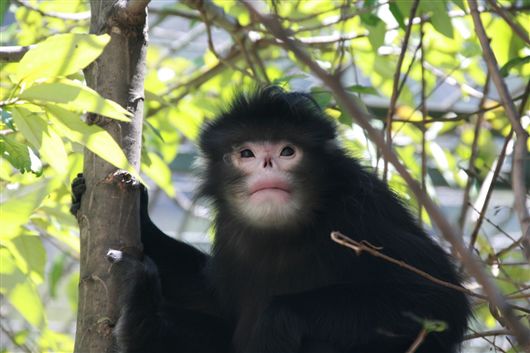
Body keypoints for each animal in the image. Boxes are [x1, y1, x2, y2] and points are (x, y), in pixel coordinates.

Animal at [72, 86, 468, 352]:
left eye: (287, 151)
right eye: (247, 153)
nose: (267, 164)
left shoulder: (361, 211)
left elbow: (439, 302)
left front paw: (277, 319)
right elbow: (213, 300)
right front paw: (141, 217)